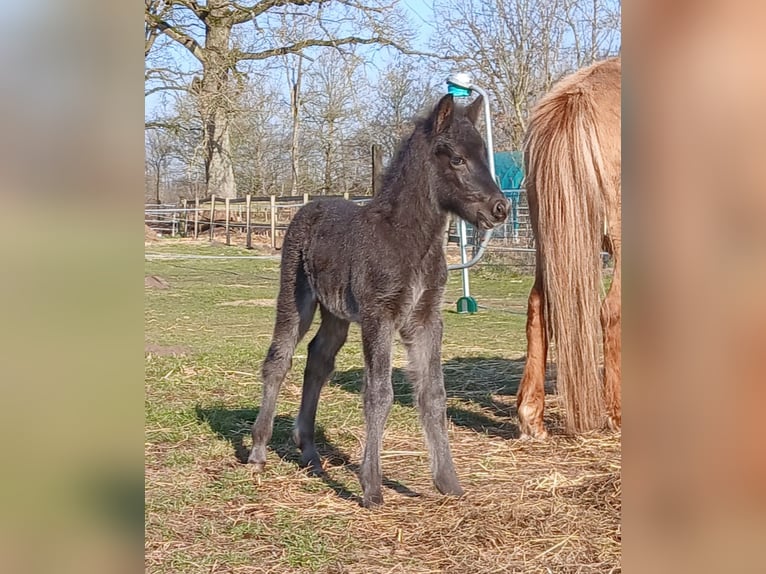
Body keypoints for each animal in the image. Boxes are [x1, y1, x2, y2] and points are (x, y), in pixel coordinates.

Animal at [248, 94, 510, 507]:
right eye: (456, 158)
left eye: (484, 155)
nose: (500, 209)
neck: (408, 241)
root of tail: (309, 206)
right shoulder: (378, 316)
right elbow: (378, 393)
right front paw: (371, 486)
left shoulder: (426, 318)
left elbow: (433, 393)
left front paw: (449, 482)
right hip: (296, 296)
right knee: (279, 358)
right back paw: (258, 452)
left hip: (336, 313)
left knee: (318, 359)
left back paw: (310, 452)